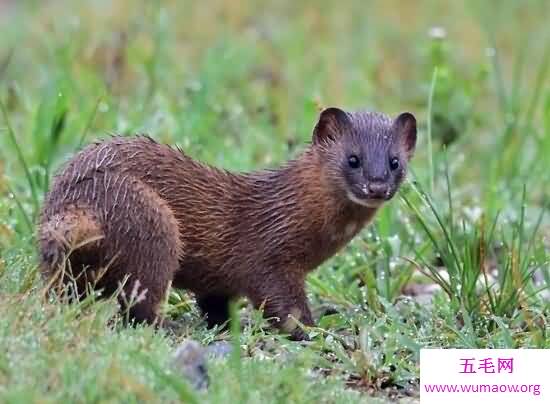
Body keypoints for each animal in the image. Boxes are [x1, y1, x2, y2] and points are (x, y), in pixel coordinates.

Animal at [37, 106, 418, 338]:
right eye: (353, 159)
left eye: (395, 161)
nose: (377, 185)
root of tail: (79, 204)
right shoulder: (271, 258)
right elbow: (283, 305)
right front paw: (314, 330)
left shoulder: (220, 282)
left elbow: (215, 304)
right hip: (154, 224)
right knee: (142, 298)